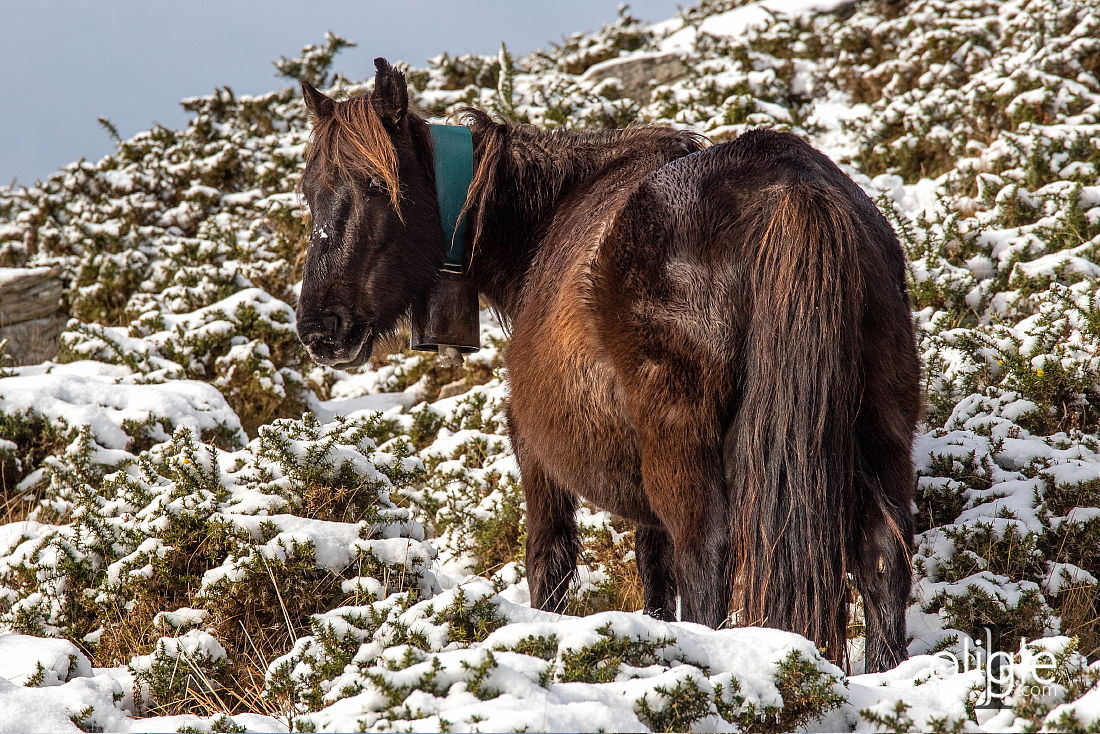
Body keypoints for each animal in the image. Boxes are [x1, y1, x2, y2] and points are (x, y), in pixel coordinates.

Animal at [297, 60, 924, 673]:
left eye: (376, 185)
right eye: (310, 192)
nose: (318, 328)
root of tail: (792, 191)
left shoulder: (535, 455)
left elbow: (549, 561)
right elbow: (654, 574)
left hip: (685, 454)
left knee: (708, 563)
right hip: (881, 429)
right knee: (883, 555)